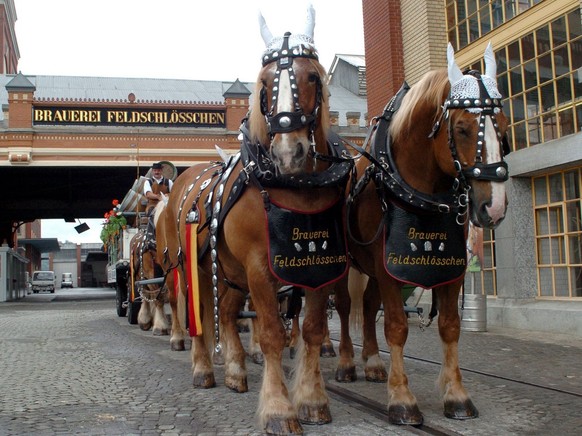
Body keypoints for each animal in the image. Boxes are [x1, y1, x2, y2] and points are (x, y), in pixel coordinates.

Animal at [157, 5, 354, 432]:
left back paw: (234, 371)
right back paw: (203, 369)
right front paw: (279, 409)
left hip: (229, 272)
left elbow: (312, 330)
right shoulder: (259, 268)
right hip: (193, 268)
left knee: (229, 314)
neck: (291, 185)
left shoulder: (319, 265)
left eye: (312, 76)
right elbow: (271, 335)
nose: (288, 153)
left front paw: (312, 399)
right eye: (264, 82)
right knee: (198, 313)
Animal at [334, 43, 512, 426]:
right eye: (462, 128)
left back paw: (373, 362)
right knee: (343, 306)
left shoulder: (450, 268)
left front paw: (456, 395)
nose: (493, 207)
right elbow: (397, 326)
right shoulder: (389, 267)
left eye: (503, 127)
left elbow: (450, 325)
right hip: (349, 265)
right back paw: (345, 362)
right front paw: (402, 399)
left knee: (367, 307)